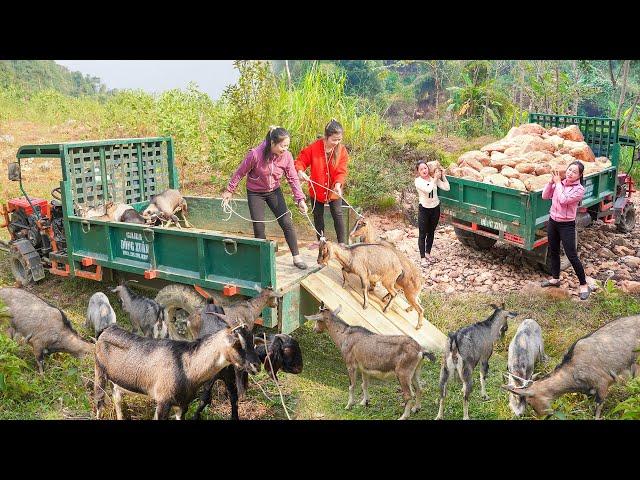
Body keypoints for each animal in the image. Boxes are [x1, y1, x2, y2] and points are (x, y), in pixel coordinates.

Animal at [95, 322, 260, 420]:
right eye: (237, 344)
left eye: (252, 342)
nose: (256, 365)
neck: (187, 367)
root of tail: (105, 330)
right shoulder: (163, 402)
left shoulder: (182, 405)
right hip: (99, 373)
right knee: (99, 402)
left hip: (117, 381)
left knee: (116, 396)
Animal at [300, 260, 444, 350]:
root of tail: (421, 280)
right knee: (416, 303)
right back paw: (406, 309)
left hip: (409, 294)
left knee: (420, 308)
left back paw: (417, 324)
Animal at [304, 306, 436, 418]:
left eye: (318, 320)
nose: (314, 329)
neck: (344, 336)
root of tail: (420, 351)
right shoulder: (364, 368)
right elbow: (365, 384)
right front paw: (364, 402)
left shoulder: (351, 365)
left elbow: (352, 386)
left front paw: (348, 405)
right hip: (415, 371)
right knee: (419, 388)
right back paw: (416, 409)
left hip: (403, 373)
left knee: (409, 394)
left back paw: (404, 416)